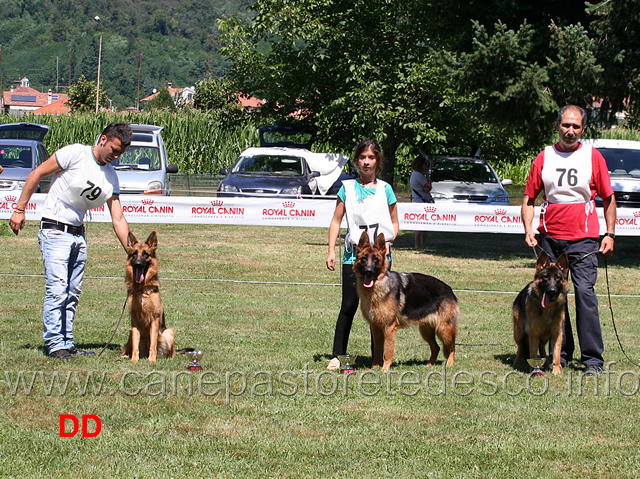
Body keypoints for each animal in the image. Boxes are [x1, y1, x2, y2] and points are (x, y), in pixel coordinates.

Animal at [120, 232, 174, 364]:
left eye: (146, 254)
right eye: (134, 254)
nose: (138, 264)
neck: (142, 290)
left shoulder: (155, 320)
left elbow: (153, 344)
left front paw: (152, 360)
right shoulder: (134, 322)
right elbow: (135, 345)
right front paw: (134, 360)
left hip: (169, 332)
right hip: (130, 333)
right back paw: (125, 356)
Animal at [352, 232, 458, 372]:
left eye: (376, 260)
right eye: (363, 259)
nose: (369, 271)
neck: (377, 288)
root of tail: (449, 289)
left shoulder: (389, 327)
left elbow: (387, 350)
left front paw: (385, 369)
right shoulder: (375, 327)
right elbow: (377, 350)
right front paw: (374, 368)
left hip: (443, 328)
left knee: (452, 346)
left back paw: (450, 364)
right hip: (426, 331)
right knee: (436, 347)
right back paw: (429, 365)